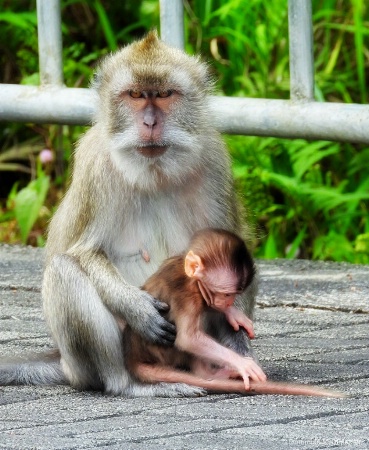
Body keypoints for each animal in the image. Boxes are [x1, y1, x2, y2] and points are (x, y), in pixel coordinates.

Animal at [1, 31, 258, 396]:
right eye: (135, 95)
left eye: (164, 95)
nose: (150, 122)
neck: (155, 172)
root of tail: (65, 364)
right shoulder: (95, 166)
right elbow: (85, 253)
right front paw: (138, 309)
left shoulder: (214, 161)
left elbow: (231, 252)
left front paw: (239, 344)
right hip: (86, 364)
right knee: (65, 270)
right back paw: (131, 383)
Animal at [125, 230, 340, 396]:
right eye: (227, 293)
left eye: (234, 294)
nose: (228, 301)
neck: (190, 278)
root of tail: (132, 357)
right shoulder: (188, 297)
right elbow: (188, 338)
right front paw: (242, 364)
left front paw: (232, 312)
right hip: (163, 352)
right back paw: (208, 374)